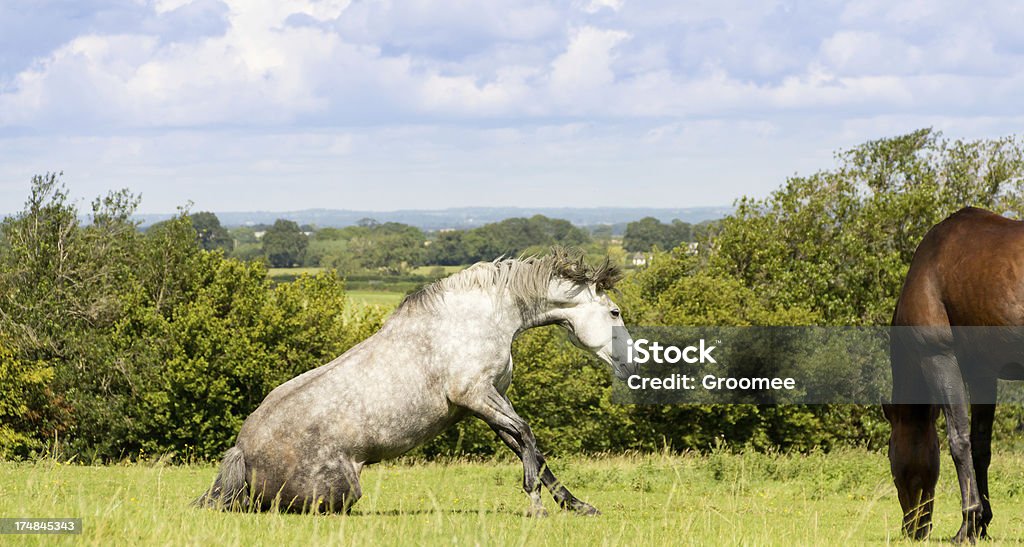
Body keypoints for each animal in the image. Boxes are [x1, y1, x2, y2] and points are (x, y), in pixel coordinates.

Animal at [193, 250, 630, 516]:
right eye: (614, 312)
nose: (629, 362)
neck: (485, 315)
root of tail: (242, 451)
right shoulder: (477, 396)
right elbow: (526, 437)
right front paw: (536, 505)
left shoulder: (489, 402)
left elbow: (531, 449)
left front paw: (576, 506)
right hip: (340, 490)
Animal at [880, 206, 1024, 544]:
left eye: (890, 456)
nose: (912, 529)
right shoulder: (982, 373)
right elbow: (980, 446)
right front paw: (982, 523)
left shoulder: (939, 358)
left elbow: (959, 441)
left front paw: (967, 525)